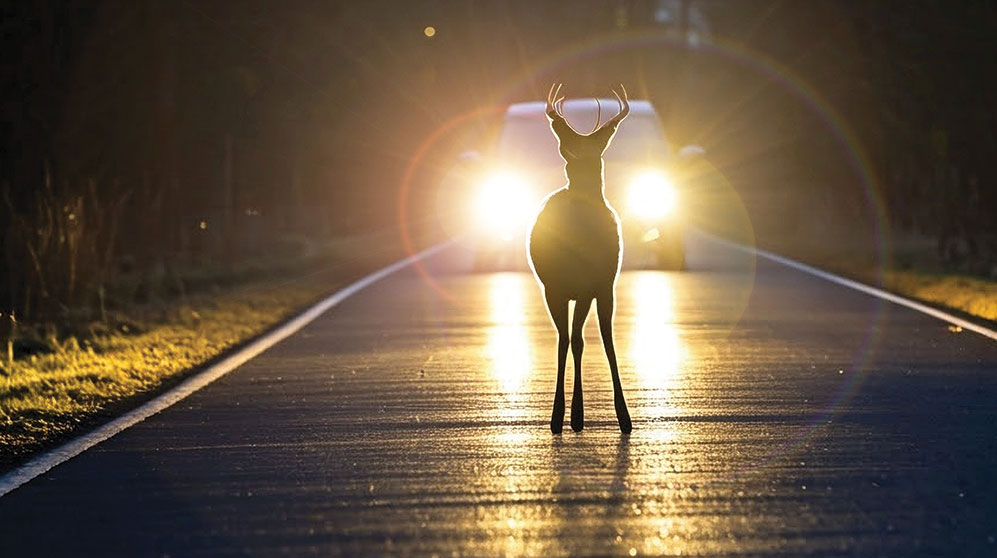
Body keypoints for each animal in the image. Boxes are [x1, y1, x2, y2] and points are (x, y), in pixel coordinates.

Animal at [528, 83, 632, 434]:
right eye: (565, 145)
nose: (577, 160)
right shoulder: (564, 287)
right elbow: (569, 340)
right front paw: (565, 415)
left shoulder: (595, 285)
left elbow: (593, 341)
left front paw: (589, 415)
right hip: (565, 289)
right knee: (567, 338)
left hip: (592, 288)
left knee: (591, 338)